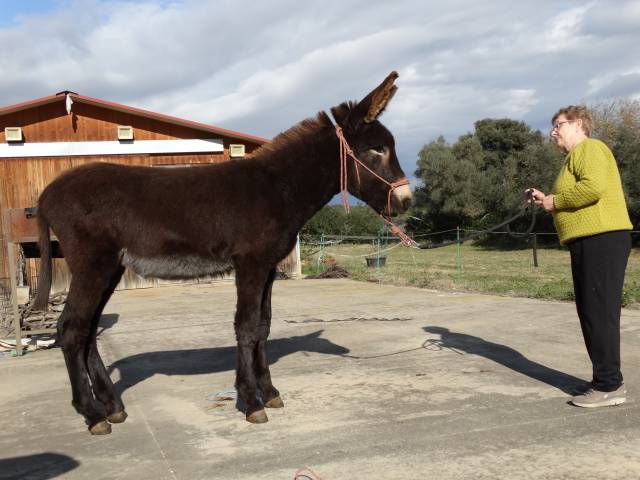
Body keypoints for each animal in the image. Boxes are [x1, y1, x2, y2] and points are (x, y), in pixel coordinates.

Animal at [33, 71, 412, 435]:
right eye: (377, 148)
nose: (407, 202)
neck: (277, 187)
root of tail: (47, 193)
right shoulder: (250, 263)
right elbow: (245, 326)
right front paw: (251, 402)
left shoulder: (268, 266)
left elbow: (263, 326)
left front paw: (269, 393)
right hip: (92, 263)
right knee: (71, 330)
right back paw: (92, 414)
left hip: (110, 267)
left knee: (88, 331)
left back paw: (112, 406)